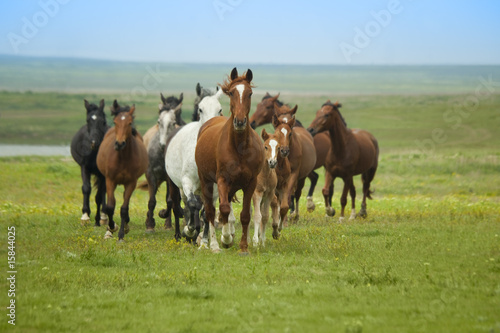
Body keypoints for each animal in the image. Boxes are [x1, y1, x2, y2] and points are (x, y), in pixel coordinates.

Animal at [97, 103, 148, 239]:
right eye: (115, 122)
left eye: (129, 123)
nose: (119, 144)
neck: (123, 158)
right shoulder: (110, 180)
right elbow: (110, 207)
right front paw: (111, 227)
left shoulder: (131, 182)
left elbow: (124, 208)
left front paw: (121, 234)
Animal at [165, 88, 229, 249]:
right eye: (200, 109)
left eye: (220, 109)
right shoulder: (187, 181)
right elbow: (192, 204)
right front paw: (189, 231)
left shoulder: (213, 189)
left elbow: (206, 212)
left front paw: (205, 242)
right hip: (174, 184)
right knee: (178, 206)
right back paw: (179, 234)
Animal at [196, 68, 266, 254]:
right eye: (231, 92)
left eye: (250, 93)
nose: (240, 122)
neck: (239, 147)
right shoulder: (222, 180)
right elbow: (224, 209)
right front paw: (226, 239)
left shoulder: (250, 182)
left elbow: (245, 215)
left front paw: (244, 246)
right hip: (206, 181)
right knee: (211, 211)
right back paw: (214, 245)